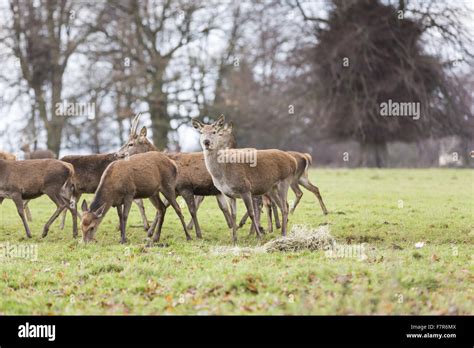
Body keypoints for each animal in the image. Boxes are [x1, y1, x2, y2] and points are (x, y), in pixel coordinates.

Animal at [192, 115, 296, 243]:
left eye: (214, 132)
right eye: (201, 132)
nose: (206, 142)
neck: (223, 174)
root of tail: (293, 160)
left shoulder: (245, 188)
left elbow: (251, 213)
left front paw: (259, 236)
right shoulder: (229, 194)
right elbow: (233, 215)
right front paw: (234, 239)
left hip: (285, 180)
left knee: (285, 207)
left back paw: (284, 234)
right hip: (271, 188)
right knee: (283, 205)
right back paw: (281, 232)